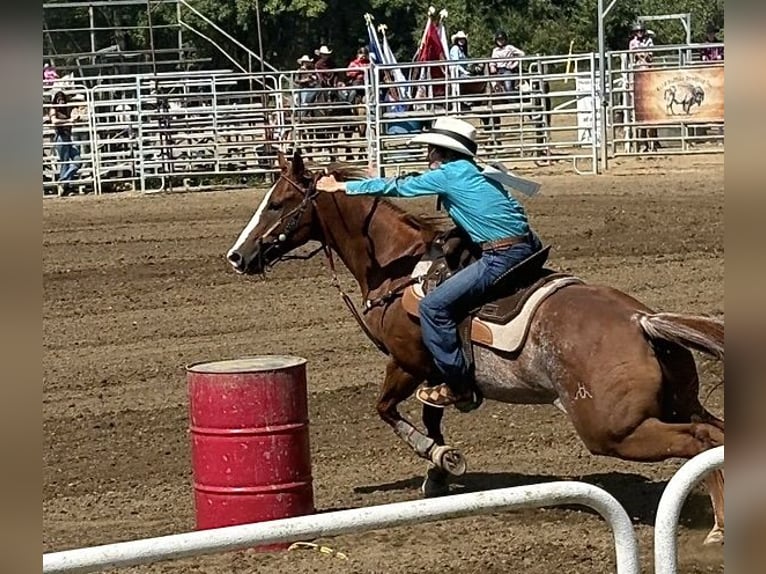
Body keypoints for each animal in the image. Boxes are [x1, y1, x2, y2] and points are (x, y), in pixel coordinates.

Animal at [225, 151, 725, 545]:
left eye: (277, 203)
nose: (237, 256)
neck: (399, 270)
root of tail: (641, 322)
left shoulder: (407, 363)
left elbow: (387, 409)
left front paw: (440, 458)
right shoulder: (435, 372)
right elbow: (433, 413)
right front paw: (438, 474)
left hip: (613, 430)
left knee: (701, 441)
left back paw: (718, 526)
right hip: (679, 401)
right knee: (715, 433)